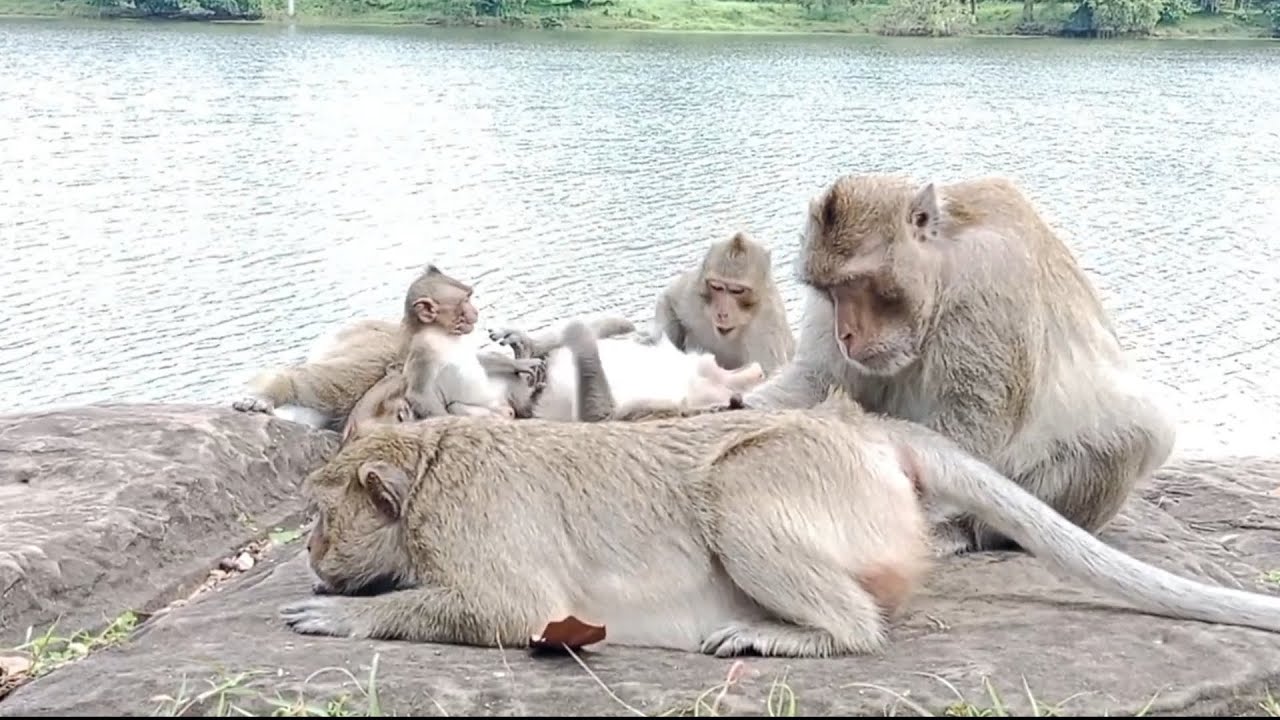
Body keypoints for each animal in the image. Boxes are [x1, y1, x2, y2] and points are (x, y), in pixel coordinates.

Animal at [279, 391, 1280, 658]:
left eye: (319, 520)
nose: (315, 555)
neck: (430, 470)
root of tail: (867, 432)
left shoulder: (467, 520)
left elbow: (509, 609)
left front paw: (341, 615)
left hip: (812, 481)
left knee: (739, 493)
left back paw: (799, 634)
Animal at [646, 232, 796, 376]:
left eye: (737, 291)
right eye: (717, 287)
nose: (722, 313)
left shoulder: (766, 329)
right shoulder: (695, 294)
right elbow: (668, 300)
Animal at [738, 173, 1178, 555]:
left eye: (856, 284)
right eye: (830, 292)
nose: (844, 333)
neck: (944, 265)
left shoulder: (989, 285)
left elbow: (973, 422)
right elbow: (820, 380)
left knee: (1123, 440)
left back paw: (964, 531)